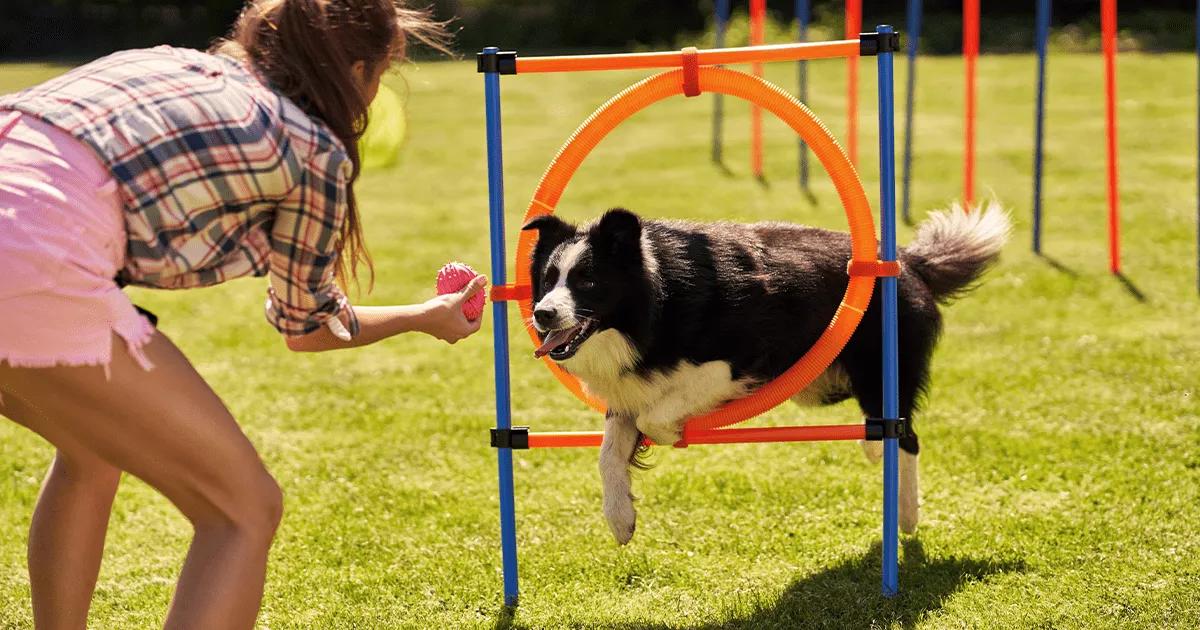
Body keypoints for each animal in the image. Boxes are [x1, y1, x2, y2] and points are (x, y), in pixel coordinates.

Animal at [525, 204, 1012, 542]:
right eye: (548, 280)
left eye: (587, 281)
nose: (542, 314)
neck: (655, 299)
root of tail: (907, 261)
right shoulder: (629, 386)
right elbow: (609, 452)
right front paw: (621, 518)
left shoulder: (739, 360)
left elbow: (656, 417)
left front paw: (673, 433)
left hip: (878, 368)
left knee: (905, 433)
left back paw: (907, 514)